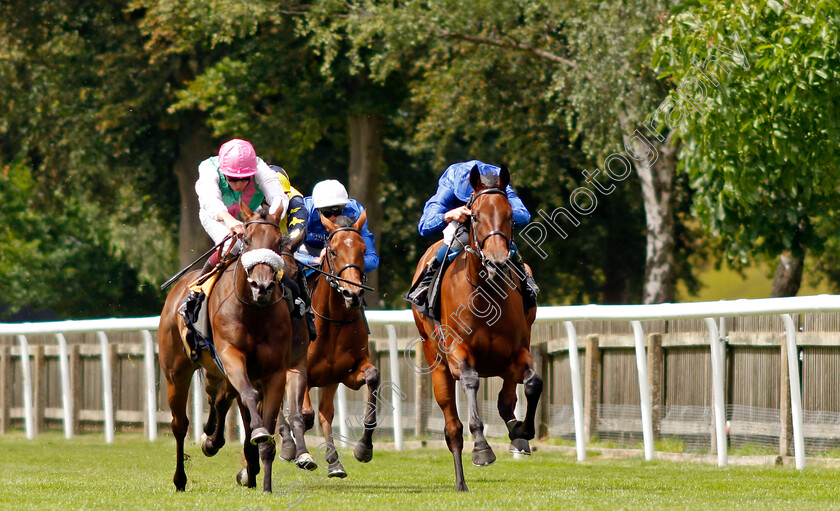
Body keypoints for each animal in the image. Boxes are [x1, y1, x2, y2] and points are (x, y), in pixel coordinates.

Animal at [158, 202, 312, 494]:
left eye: (277, 243)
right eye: (247, 240)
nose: (262, 286)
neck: (254, 313)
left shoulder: (278, 371)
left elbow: (271, 427)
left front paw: (266, 483)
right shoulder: (232, 357)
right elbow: (250, 400)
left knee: (218, 400)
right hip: (175, 373)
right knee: (180, 424)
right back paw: (180, 478)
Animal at [278, 209, 384, 480]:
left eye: (362, 249)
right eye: (333, 251)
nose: (352, 294)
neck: (334, 320)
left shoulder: (345, 373)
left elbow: (373, 377)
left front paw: (364, 448)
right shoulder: (300, 370)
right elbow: (304, 413)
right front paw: (299, 453)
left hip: (329, 380)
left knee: (326, 413)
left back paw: (334, 461)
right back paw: (287, 446)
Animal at [410, 165, 540, 492]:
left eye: (509, 215)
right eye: (476, 216)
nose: (497, 262)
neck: (486, 293)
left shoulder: (517, 352)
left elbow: (532, 384)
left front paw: (523, 431)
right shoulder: (458, 354)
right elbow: (470, 382)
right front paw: (482, 448)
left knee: (506, 401)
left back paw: (516, 435)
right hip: (436, 363)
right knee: (452, 428)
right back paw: (461, 482)